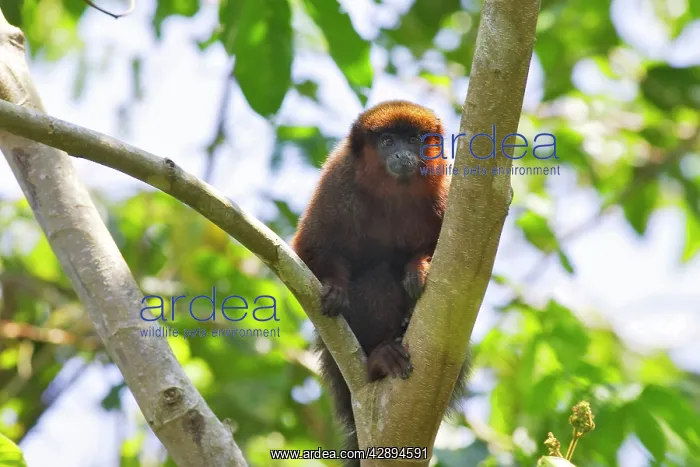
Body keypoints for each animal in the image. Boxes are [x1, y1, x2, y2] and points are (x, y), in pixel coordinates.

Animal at [291, 100, 469, 460]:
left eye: (413, 140)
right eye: (388, 141)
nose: (402, 154)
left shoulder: (444, 189)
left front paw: (418, 269)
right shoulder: (337, 181)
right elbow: (312, 246)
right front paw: (335, 286)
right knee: (379, 278)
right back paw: (379, 360)